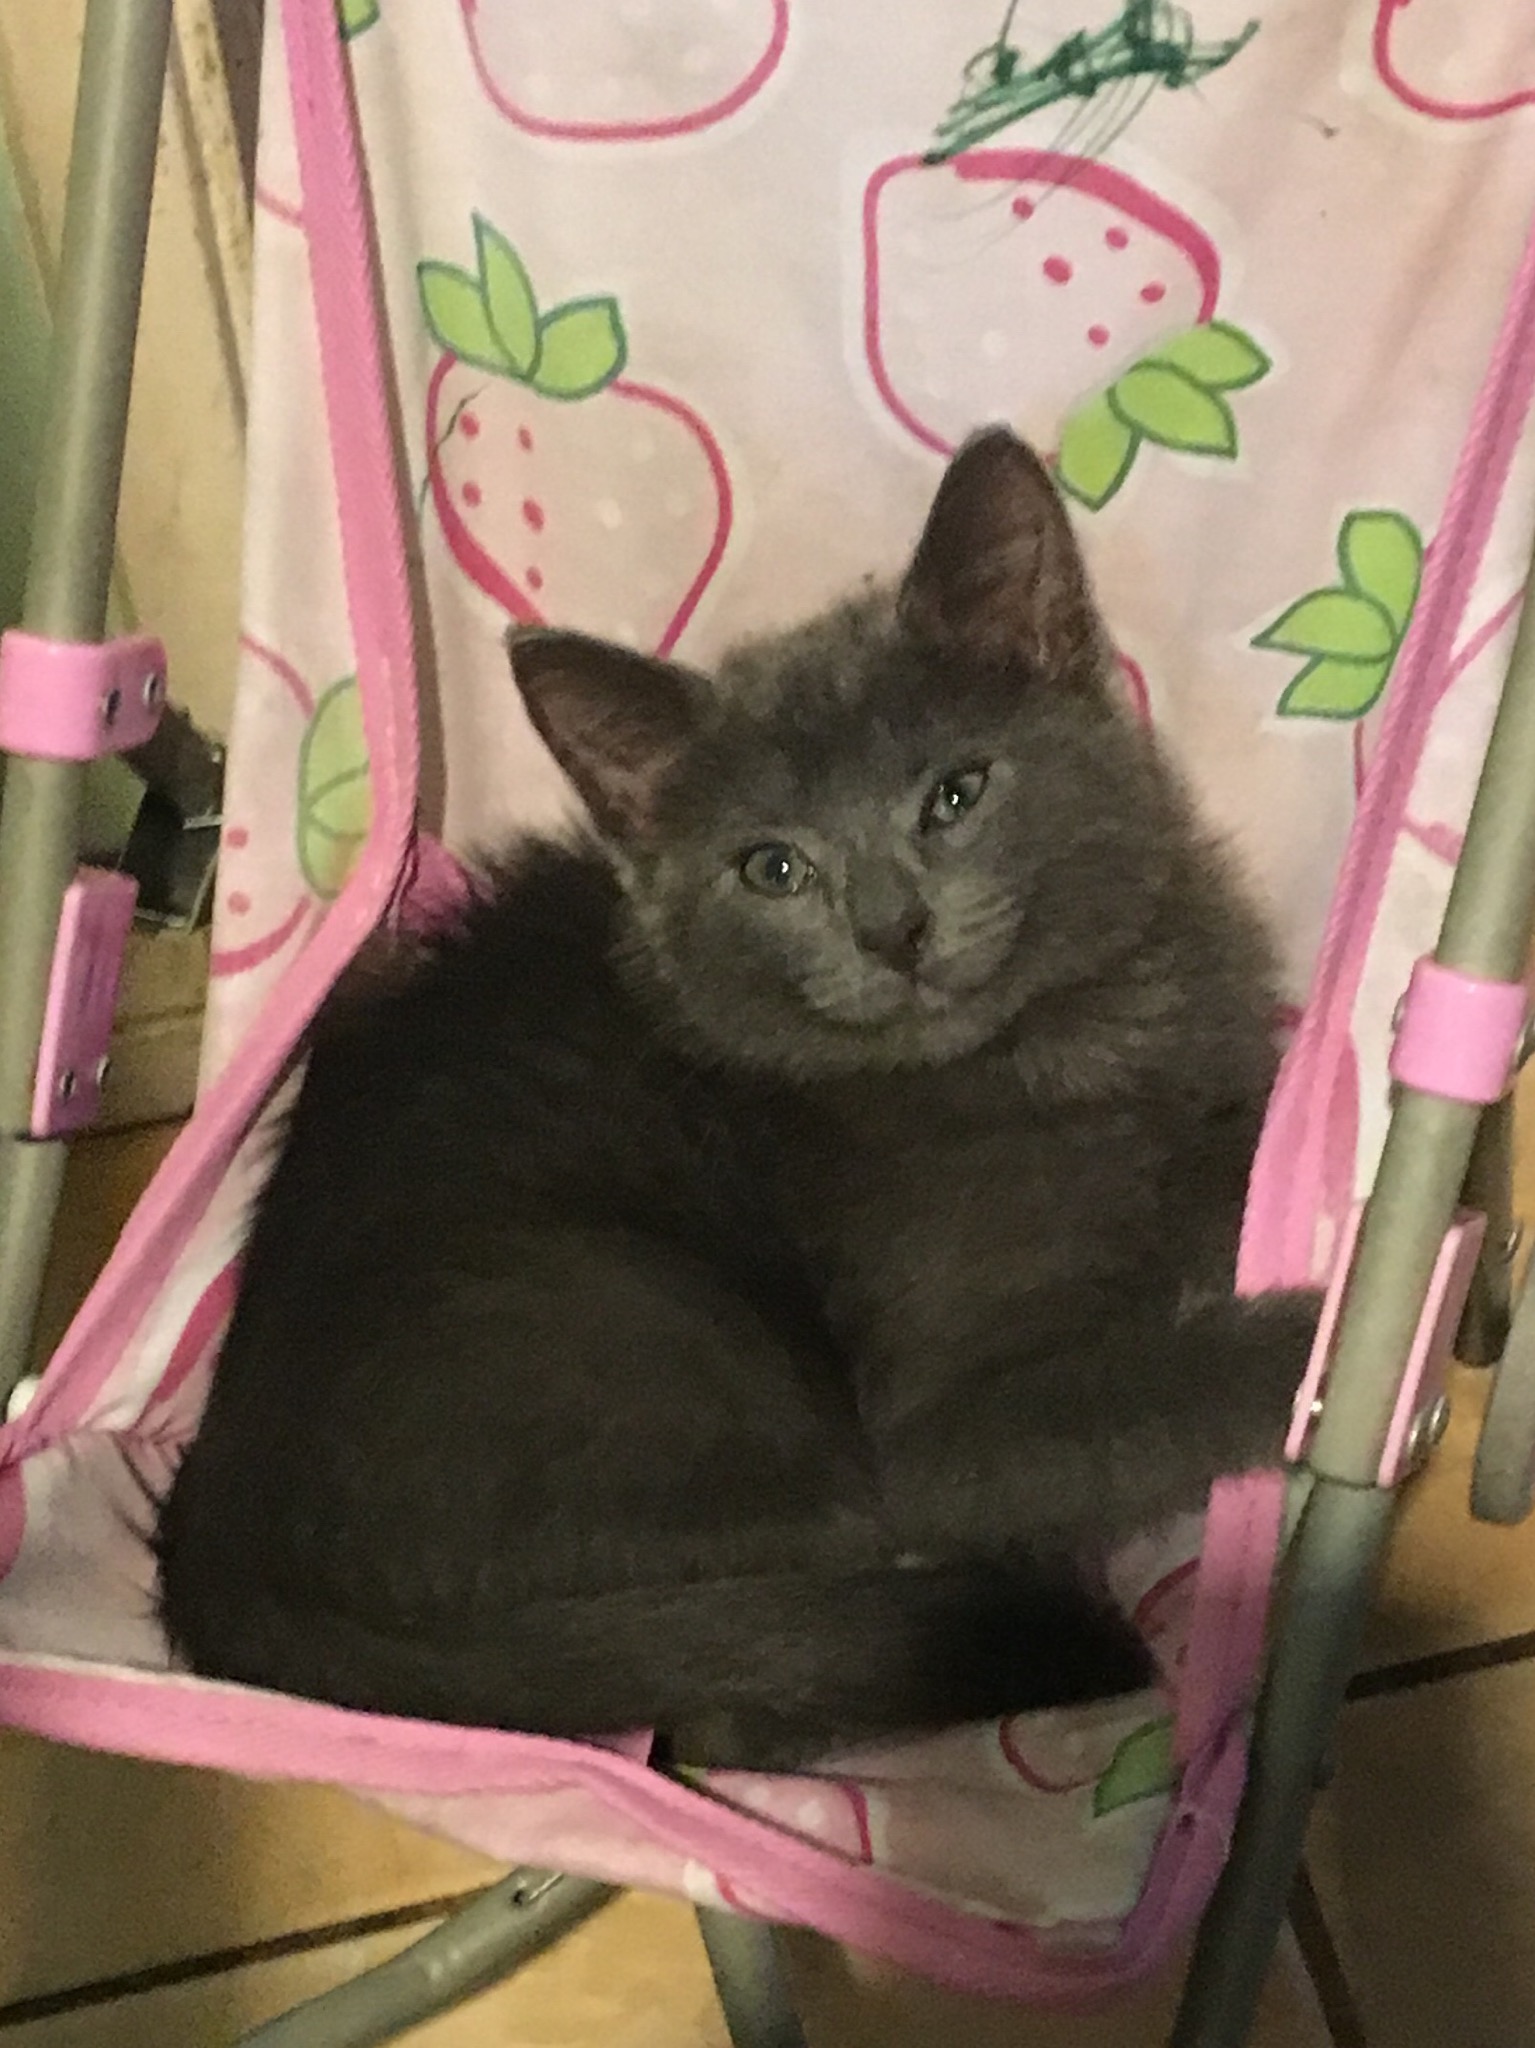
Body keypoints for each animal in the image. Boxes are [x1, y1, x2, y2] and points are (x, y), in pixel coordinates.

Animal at [154, 427, 1318, 1769]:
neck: (1051, 1049)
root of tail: (213, 1532)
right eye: (773, 868)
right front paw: (1303, 1350)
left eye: (955, 793)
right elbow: (1123, 1394)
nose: (892, 927)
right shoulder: (937, 1425)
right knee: (744, 1673)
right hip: (652, 1329)